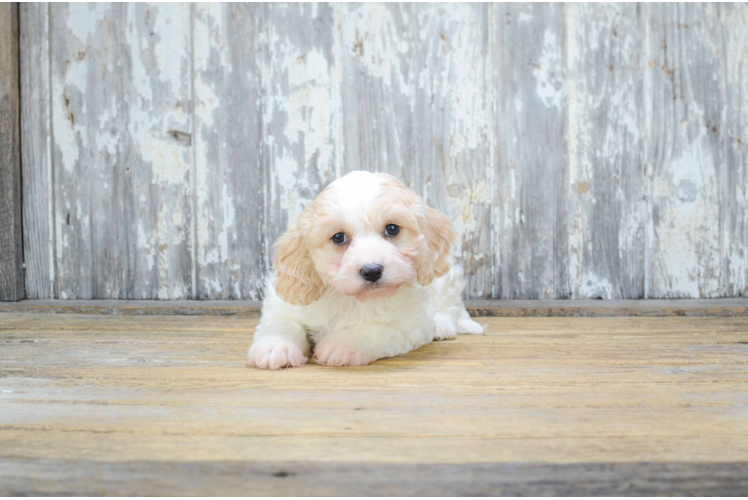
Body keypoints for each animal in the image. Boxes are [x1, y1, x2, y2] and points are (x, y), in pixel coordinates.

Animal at [247, 170, 486, 370]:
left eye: (392, 229)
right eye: (338, 237)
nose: (372, 271)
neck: (352, 299)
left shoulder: (407, 327)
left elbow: (372, 331)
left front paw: (342, 344)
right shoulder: (284, 305)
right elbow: (281, 324)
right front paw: (274, 347)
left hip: (444, 279)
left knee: (449, 307)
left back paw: (440, 325)